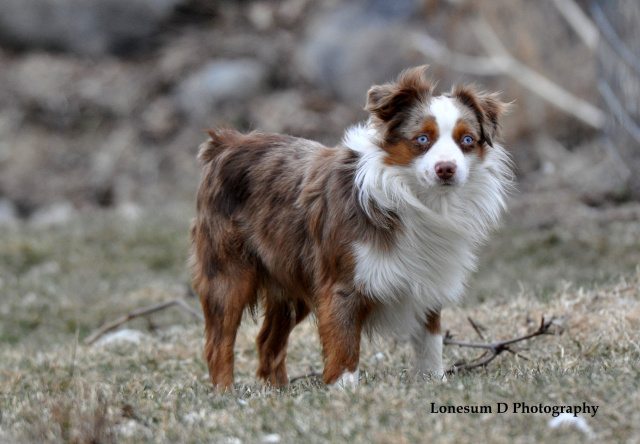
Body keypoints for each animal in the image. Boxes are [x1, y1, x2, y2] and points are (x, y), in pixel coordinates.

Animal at [188, 64, 512, 390]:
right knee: (218, 342)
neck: (416, 198)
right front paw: (345, 391)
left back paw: (278, 391)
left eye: (467, 140)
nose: (446, 169)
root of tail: (227, 142)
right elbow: (343, 345)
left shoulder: (428, 275)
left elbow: (430, 340)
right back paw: (226, 392)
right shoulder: (341, 284)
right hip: (228, 272)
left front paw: (434, 381)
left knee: (268, 341)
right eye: (422, 139)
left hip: (292, 277)